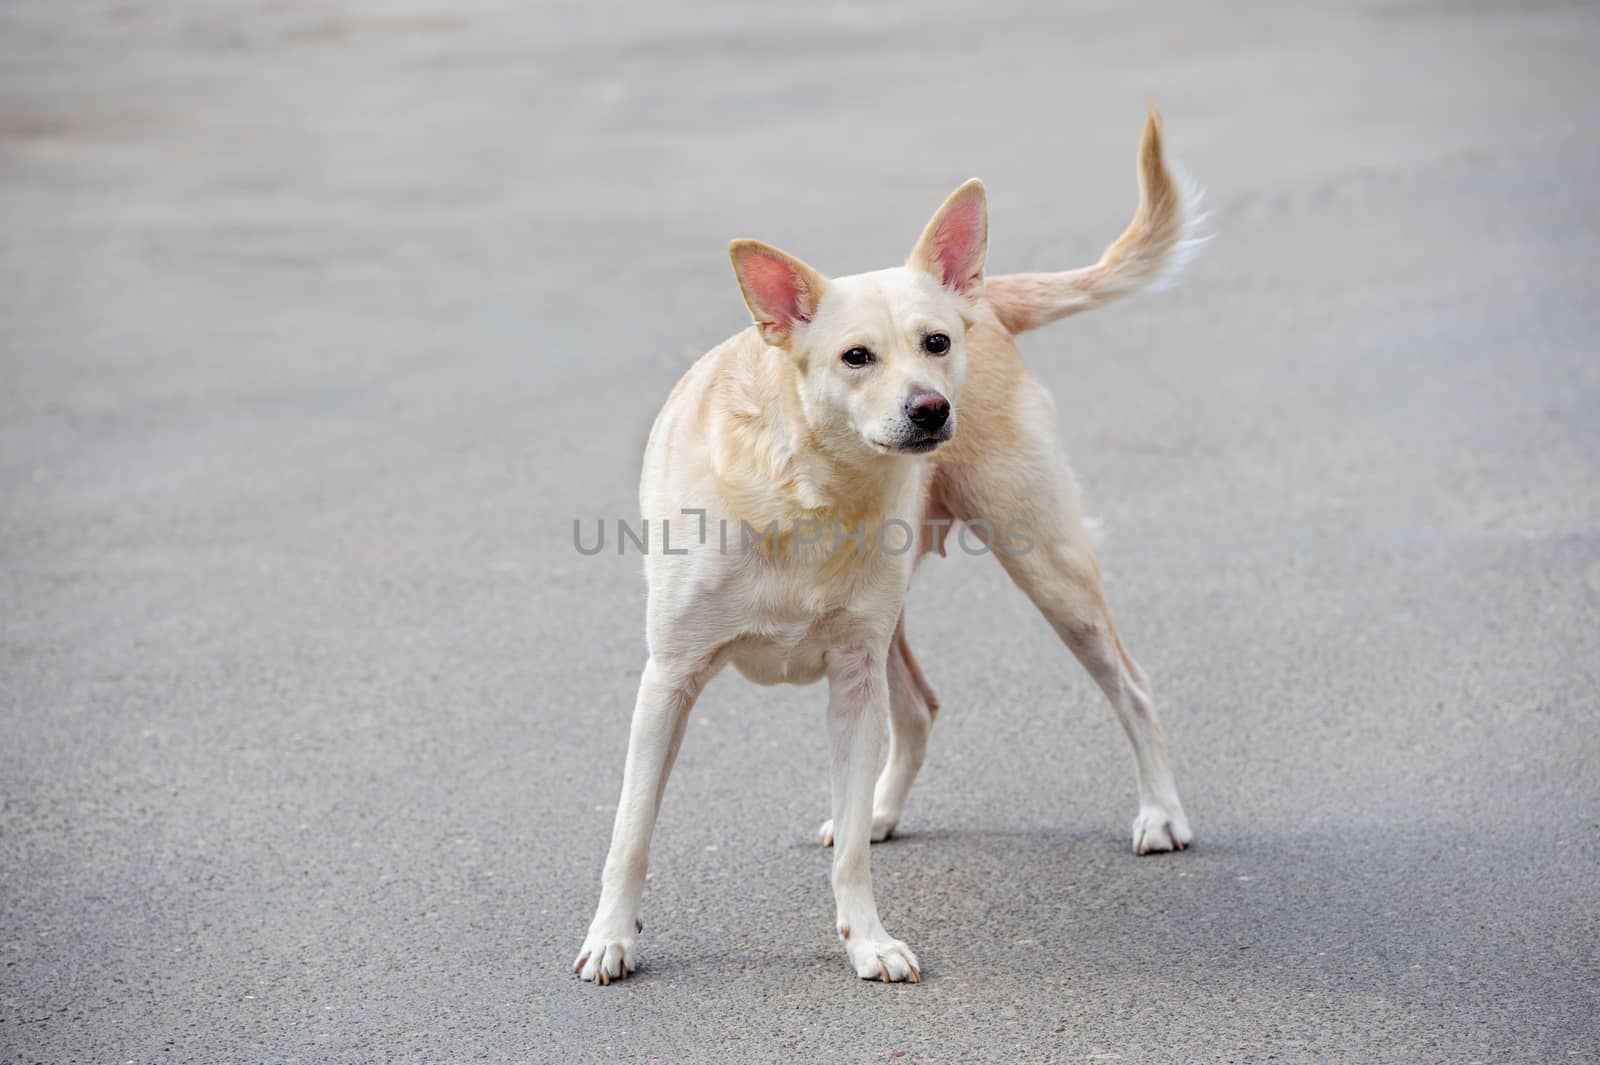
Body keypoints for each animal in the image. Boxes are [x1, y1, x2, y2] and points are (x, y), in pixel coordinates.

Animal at [572, 105, 1203, 978]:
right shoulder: (667, 682)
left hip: (1048, 569)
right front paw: (610, 937)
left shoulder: (851, 682)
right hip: (904, 622)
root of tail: (987, 301)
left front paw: (867, 940)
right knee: (922, 707)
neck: (806, 486)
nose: (932, 408)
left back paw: (1160, 812)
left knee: (1130, 684)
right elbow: (629, 833)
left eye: (934, 343)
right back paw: (876, 808)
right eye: (856, 357)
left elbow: (849, 864)